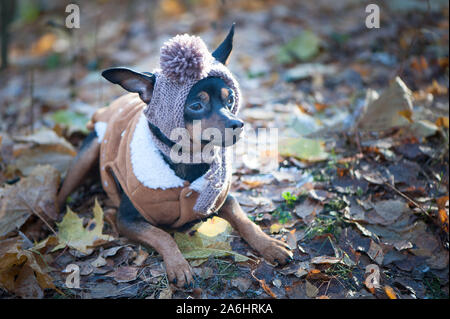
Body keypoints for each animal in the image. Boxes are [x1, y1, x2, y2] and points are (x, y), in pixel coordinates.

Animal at [56, 25, 294, 290]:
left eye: (230, 99)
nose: (237, 124)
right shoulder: (127, 219)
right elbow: (162, 235)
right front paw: (179, 266)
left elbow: (244, 219)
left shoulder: (223, 198)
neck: (188, 158)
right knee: (62, 193)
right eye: (196, 106)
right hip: (87, 154)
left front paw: (270, 245)